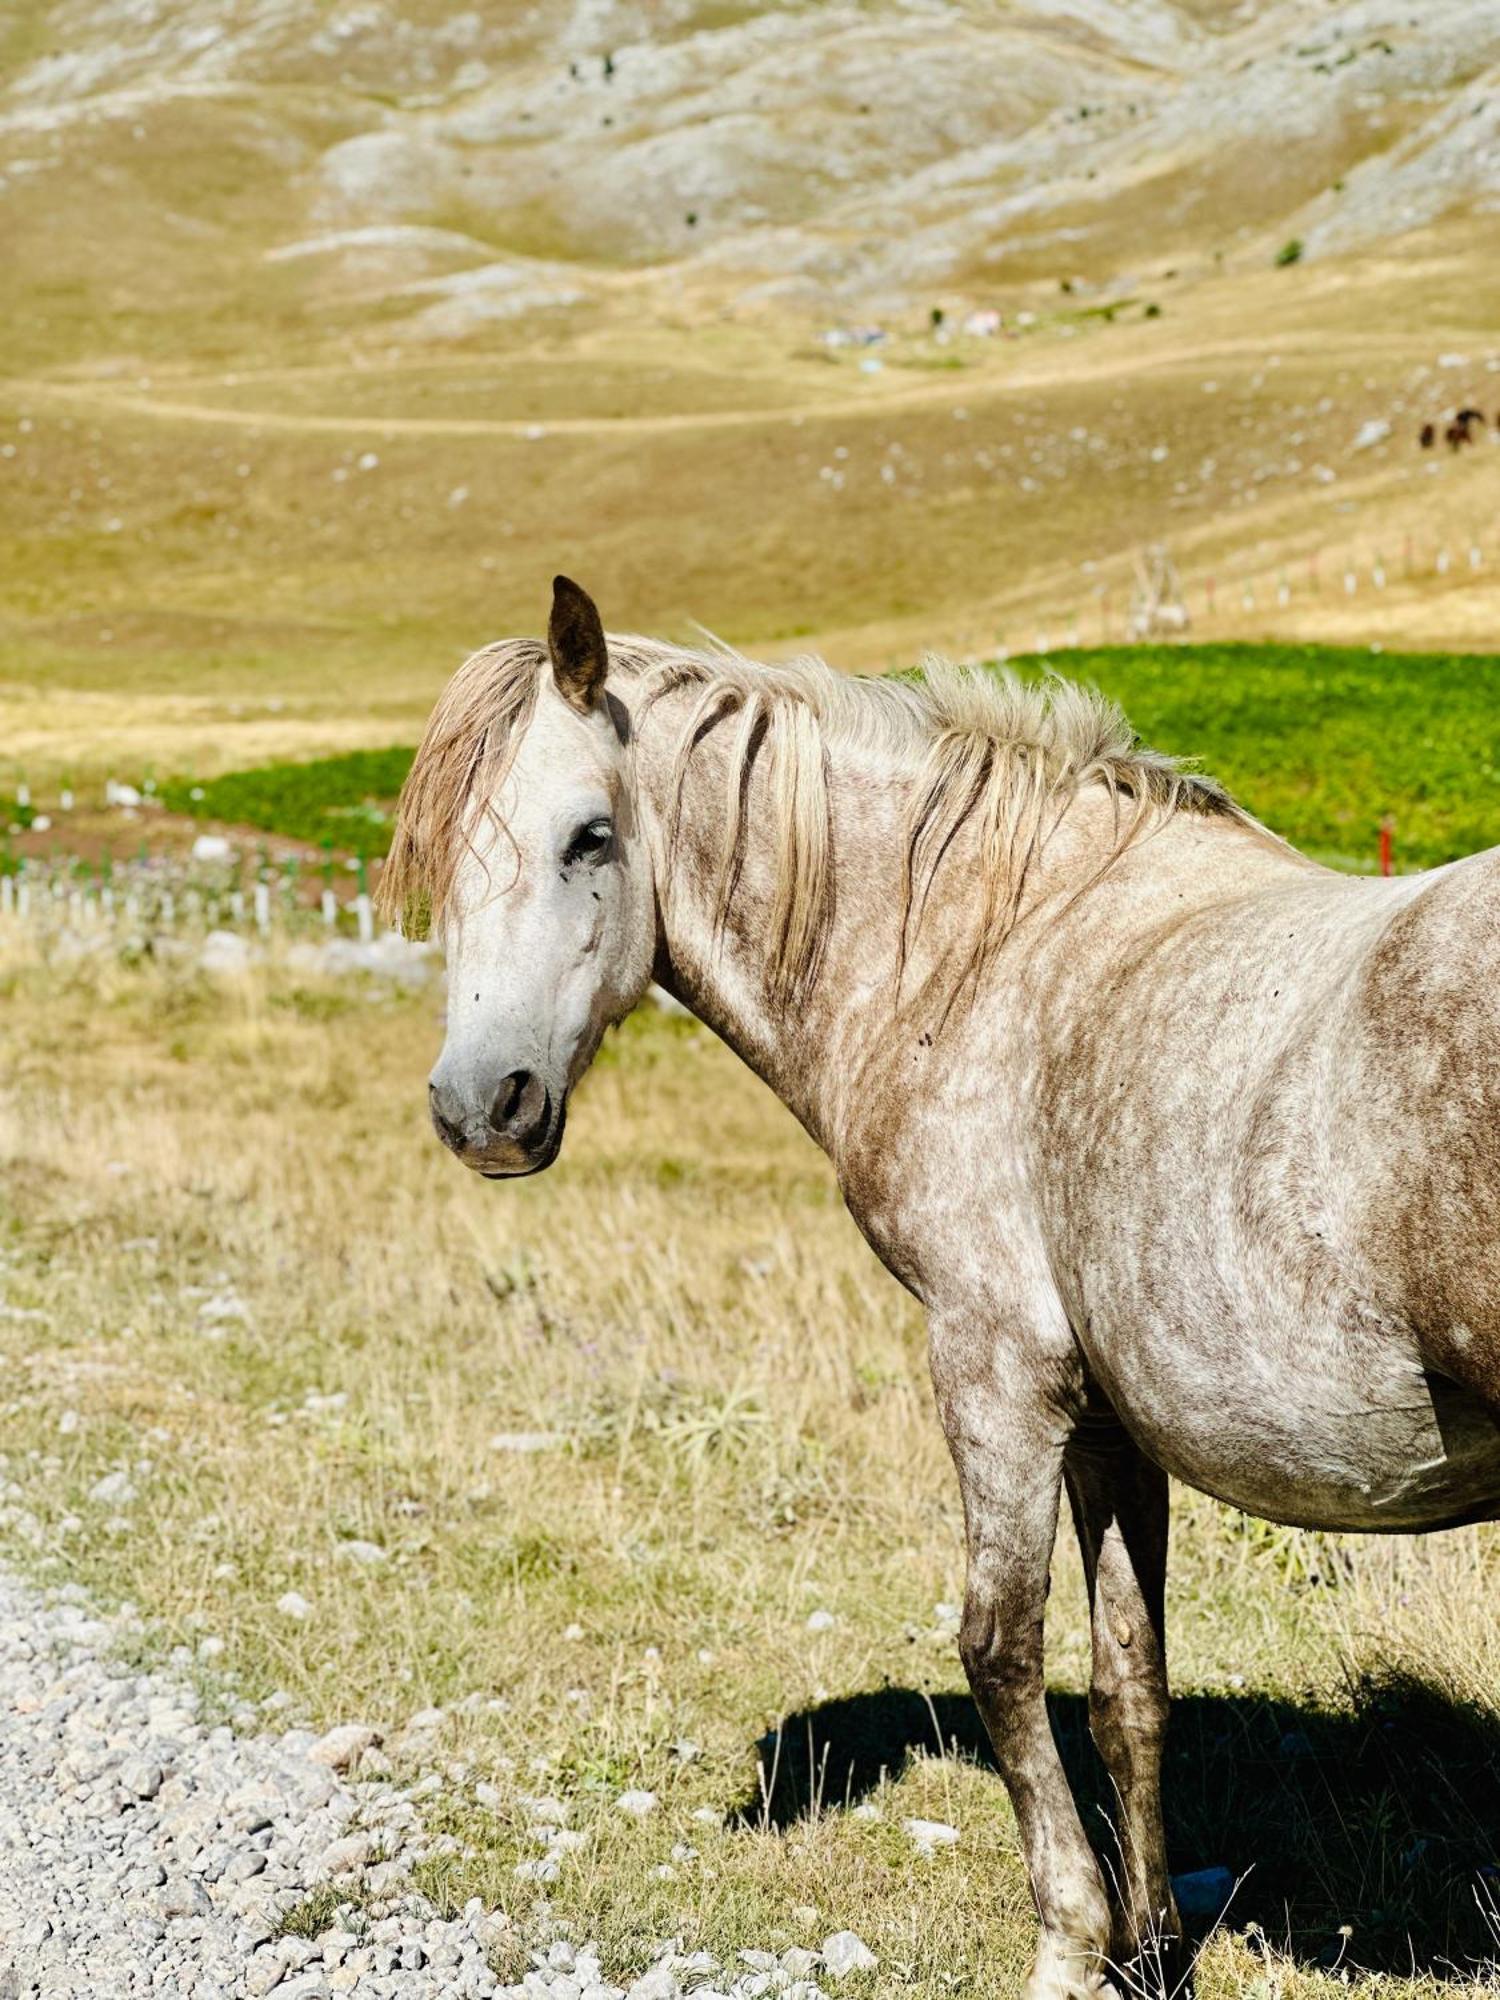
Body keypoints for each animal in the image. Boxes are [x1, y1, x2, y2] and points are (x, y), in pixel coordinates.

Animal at [384, 580, 1500, 2000]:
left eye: (589, 833)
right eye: (440, 852)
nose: (483, 1107)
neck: (992, 952)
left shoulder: (995, 1373)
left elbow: (1001, 1650)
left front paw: (1071, 1944)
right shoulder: (1108, 1419)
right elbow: (1128, 1680)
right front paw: (1150, 1946)